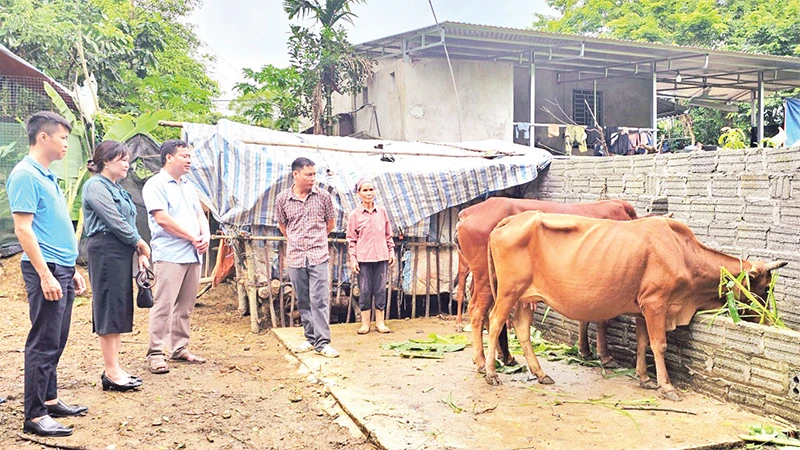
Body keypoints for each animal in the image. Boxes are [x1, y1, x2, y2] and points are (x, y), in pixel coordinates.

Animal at [456, 198, 636, 372]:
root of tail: (467, 213)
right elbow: (601, 319)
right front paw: (604, 357)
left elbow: (586, 317)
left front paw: (585, 350)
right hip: (488, 278)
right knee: (478, 311)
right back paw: (482, 361)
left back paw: (503, 357)